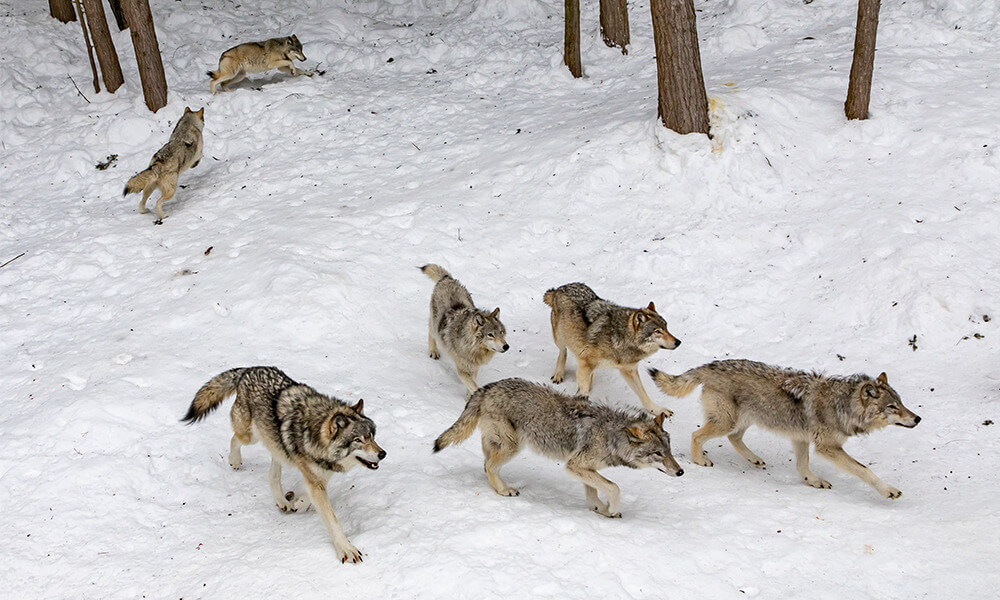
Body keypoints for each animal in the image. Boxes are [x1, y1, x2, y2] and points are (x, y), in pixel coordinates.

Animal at [182, 367, 386, 563]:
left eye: (372, 437)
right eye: (358, 440)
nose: (382, 454)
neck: (315, 435)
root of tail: (248, 370)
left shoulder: (320, 476)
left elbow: (309, 496)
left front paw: (299, 503)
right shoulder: (316, 480)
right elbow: (332, 520)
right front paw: (346, 550)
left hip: (277, 446)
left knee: (273, 473)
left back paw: (282, 501)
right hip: (251, 436)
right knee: (235, 439)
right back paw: (235, 461)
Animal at [421, 264, 509, 394]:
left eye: (501, 333)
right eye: (490, 335)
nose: (506, 346)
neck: (472, 348)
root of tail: (447, 279)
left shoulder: (474, 368)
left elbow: (472, 384)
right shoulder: (462, 370)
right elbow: (474, 386)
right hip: (435, 324)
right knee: (431, 332)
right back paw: (433, 351)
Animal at [433, 378, 683, 518]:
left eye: (669, 451)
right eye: (658, 453)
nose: (681, 472)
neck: (611, 435)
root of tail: (487, 387)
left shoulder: (584, 468)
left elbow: (594, 492)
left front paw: (601, 510)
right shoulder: (575, 465)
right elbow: (614, 487)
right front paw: (611, 509)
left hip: (502, 444)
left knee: (485, 463)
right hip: (513, 446)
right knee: (489, 466)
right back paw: (504, 490)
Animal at [543, 283, 681, 417]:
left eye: (666, 327)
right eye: (658, 331)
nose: (678, 342)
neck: (619, 338)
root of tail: (560, 288)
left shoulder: (629, 370)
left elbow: (644, 395)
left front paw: (658, 410)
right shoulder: (585, 363)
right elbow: (583, 391)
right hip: (560, 338)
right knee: (563, 352)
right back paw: (559, 374)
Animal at [648, 360, 921, 499]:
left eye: (901, 403)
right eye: (892, 407)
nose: (917, 418)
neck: (842, 405)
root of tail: (711, 365)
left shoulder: (801, 438)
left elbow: (803, 466)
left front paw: (813, 481)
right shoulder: (827, 448)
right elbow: (865, 470)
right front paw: (888, 490)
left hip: (744, 420)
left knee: (734, 438)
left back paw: (754, 459)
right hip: (727, 421)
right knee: (697, 435)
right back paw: (700, 461)